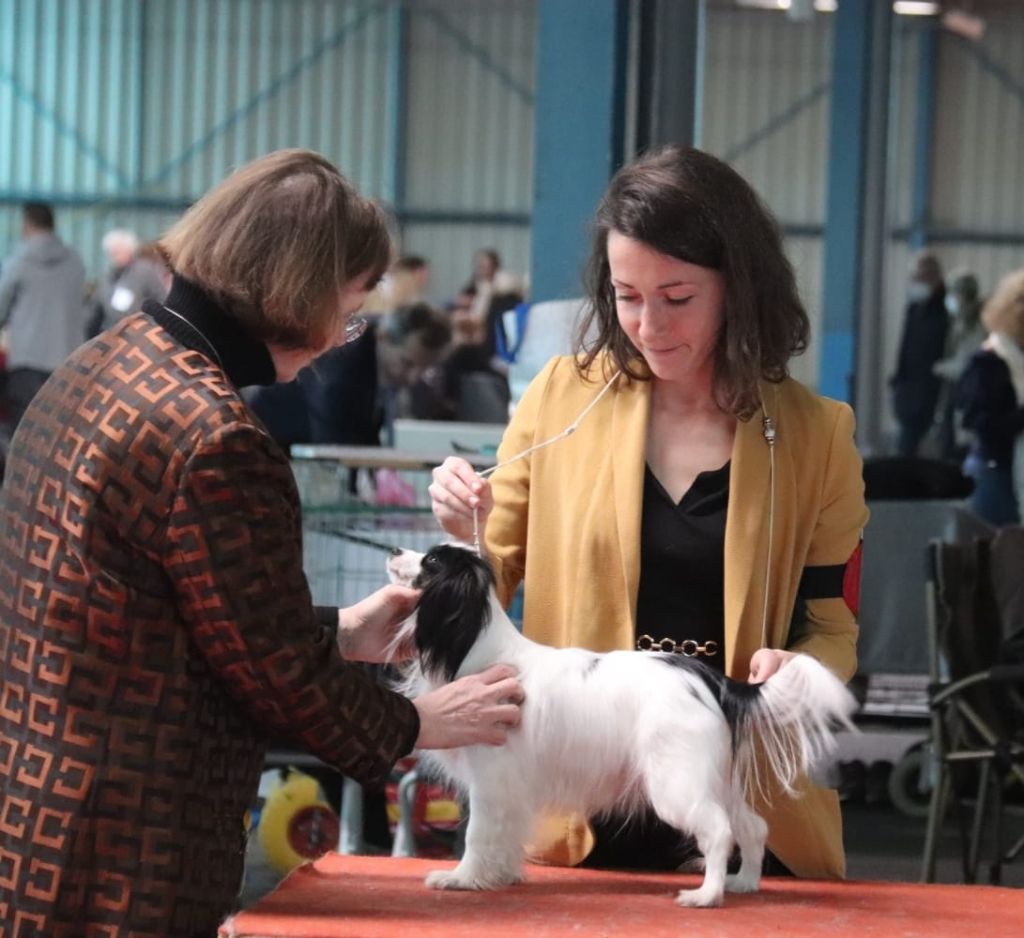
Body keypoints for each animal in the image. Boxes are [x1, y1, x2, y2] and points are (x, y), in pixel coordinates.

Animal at [387, 543, 857, 908]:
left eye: (431, 561)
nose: (392, 551)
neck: (481, 645)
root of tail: (713, 681)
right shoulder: (512, 791)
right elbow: (504, 836)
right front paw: (500, 876)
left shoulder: (491, 783)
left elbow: (478, 834)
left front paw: (462, 879)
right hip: (713, 778)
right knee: (752, 827)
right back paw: (744, 883)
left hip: (676, 783)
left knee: (719, 832)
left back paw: (707, 896)